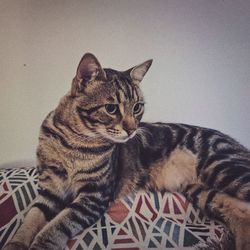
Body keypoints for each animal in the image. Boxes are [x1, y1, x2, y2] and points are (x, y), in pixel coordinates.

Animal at [3, 53, 250, 250]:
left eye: (138, 107)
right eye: (111, 108)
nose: (132, 129)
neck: (73, 144)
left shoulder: (94, 196)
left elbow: (57, 225)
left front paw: (41, 244)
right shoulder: (49, 190)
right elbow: (30, 220)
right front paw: (15, 244)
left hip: (223, 168)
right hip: (204, 192)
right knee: (243, 214)